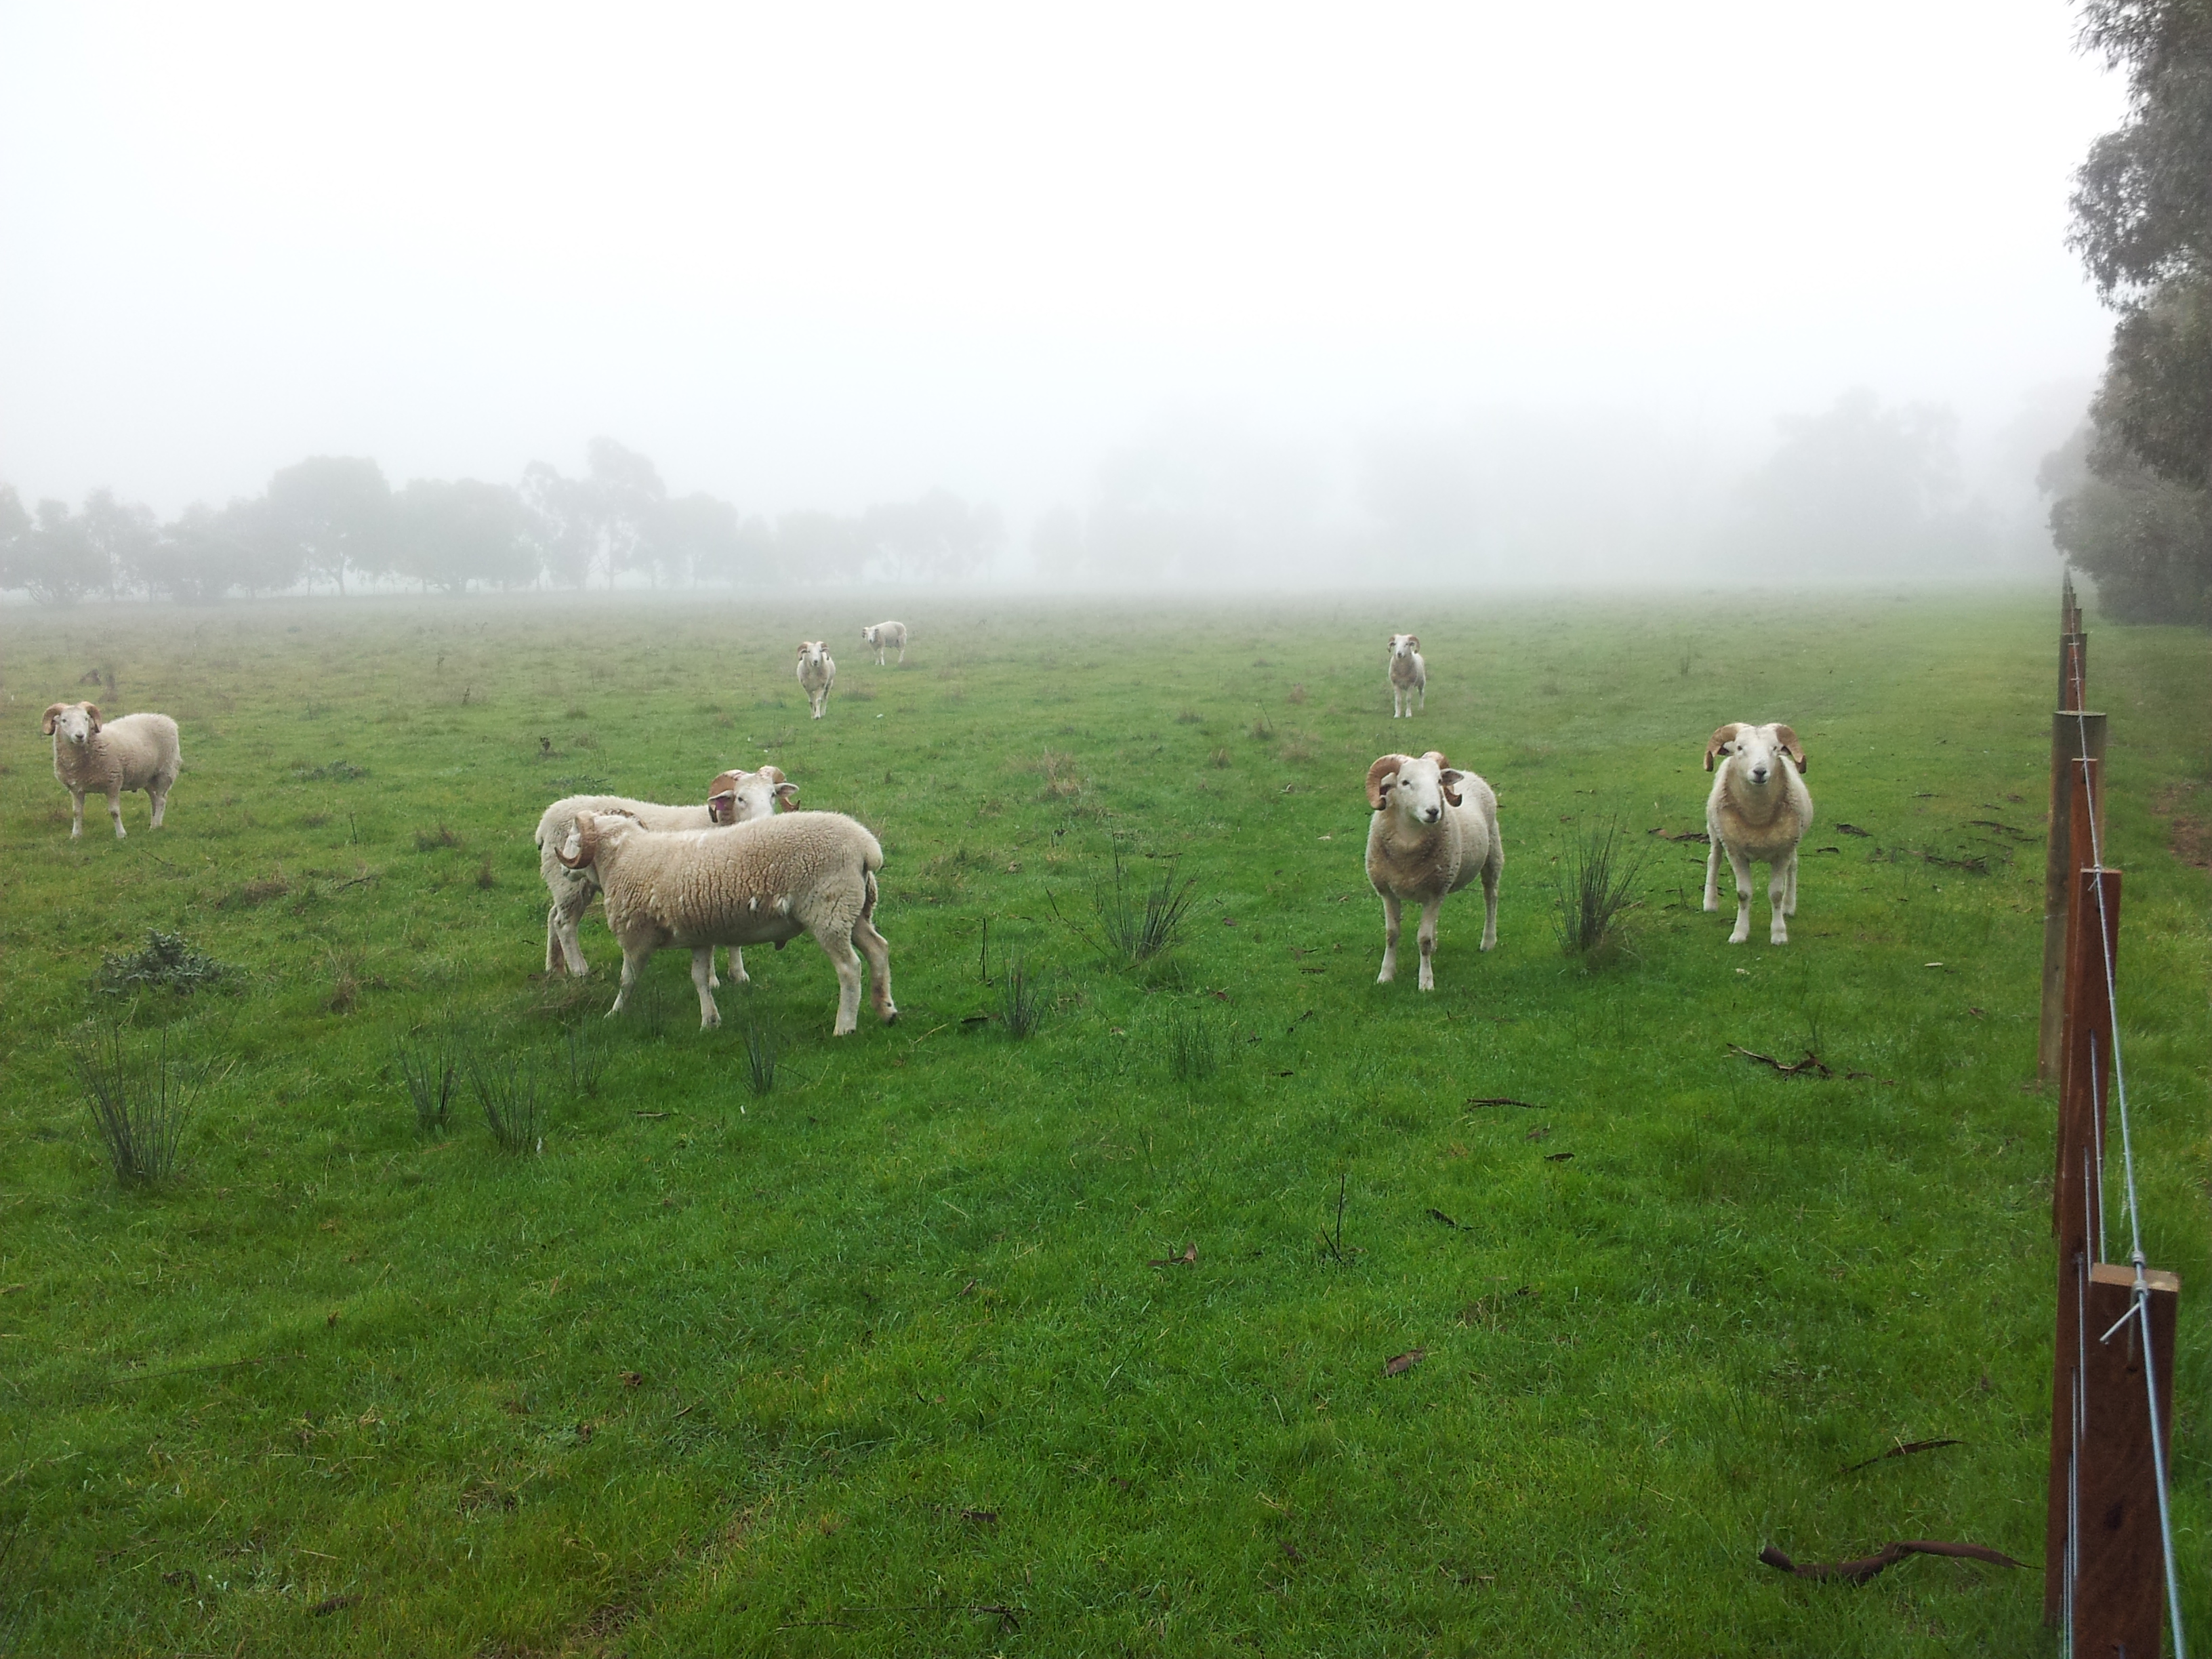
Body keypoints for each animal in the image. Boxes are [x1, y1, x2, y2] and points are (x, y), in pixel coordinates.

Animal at [43, 701, 182, 839]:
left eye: (86, 719)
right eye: (64, 720)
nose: (80, 736)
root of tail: (166, 719)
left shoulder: (113, 783)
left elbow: (114, 812)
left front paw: (121, 835)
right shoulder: (76, 789)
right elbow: (77, 813)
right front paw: (76, 836)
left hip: (165, 772)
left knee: (161, 800)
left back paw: (155, 826)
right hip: (147, 777)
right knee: (154, 799)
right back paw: (155, 824)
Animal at [534, 767, 797, 979]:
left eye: (772, 795)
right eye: (741, 798)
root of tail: (546, 819)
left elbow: (735, 941)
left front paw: (739, 976)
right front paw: (714, 979)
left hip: (565, 882)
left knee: (552, 914)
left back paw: (554, 967)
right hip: (570, 882)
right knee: (564, 924)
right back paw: (579, 970)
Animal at [554, 808, 896, 1035]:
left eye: (573, 839)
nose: (565, 871)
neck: (623, 857)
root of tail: (867, 847)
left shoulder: (635, 936)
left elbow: (628, 980)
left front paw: (614, 1015)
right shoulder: (698, 936)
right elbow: (699, 979)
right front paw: (710, 1021)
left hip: (829, 912)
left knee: (849, 968)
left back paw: (845, 1026)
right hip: (854, 910)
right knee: (878, 950)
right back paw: (886, 1010)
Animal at [1364, 749, 1501, 990]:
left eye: (1438, 781)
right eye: (1405, 782)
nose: (1433, 811)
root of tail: (1468, 773)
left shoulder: (1434, 892)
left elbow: (1423, 940)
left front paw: (1426, 982)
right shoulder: (1389, 891)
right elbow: (1391, 934)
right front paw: (1386, 975)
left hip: (1492, 854)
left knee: (1490, 896)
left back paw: (1488, 941)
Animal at [1702, 722, 1814, 945]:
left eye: (1775, 748)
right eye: (1740, 748)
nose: (1760, 772)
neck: (1758, 818)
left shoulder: (1783, 851)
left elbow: (1776, 894)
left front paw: (1779, 934)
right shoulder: (1736, 853)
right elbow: (1743, 894)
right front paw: (1739, 934)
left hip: (1793, 840)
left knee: (1793, 866)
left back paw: (1789, 906)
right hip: (1715, 831)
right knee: (1713, 860)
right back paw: (1710, 902)